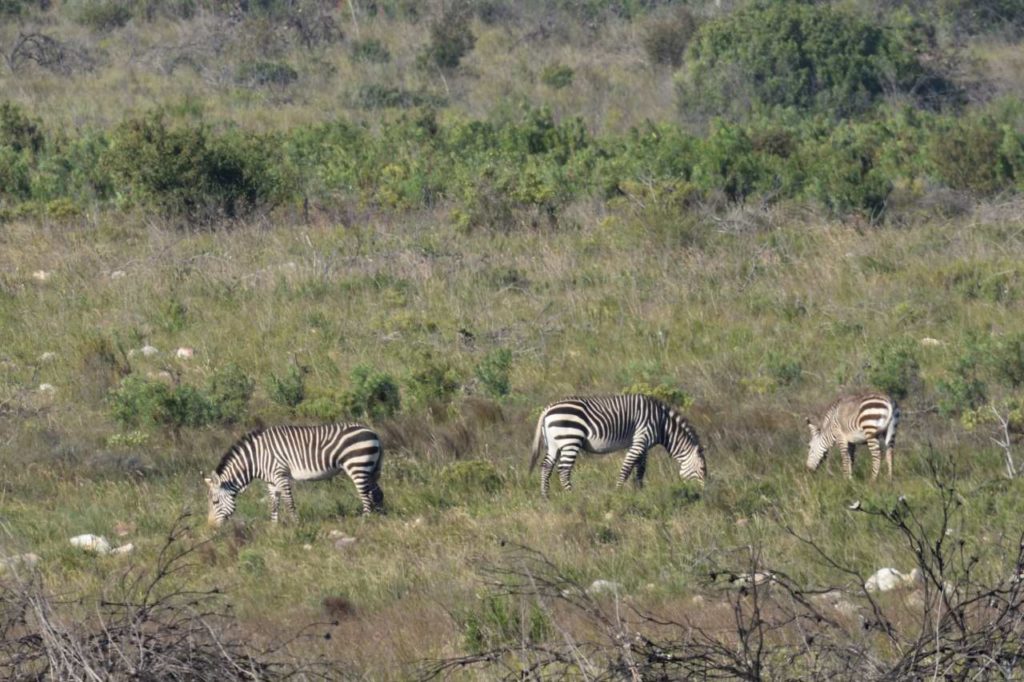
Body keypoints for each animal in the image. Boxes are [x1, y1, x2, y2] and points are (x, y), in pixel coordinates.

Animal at [203, 419, 385, 524]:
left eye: (215, 502)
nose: (210, 527)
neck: (256, 458)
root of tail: (373, 432)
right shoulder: (271, 481)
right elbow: (273, 504)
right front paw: (274, 528)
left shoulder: (280, 474)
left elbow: (289, 502)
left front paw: (296, 525)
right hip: (370, 468)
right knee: (376, 493)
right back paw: (381, 517)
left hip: (357, 466)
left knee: (365, 495)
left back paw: (366, 521)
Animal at [528, 391, 704, 497]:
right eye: (702, 469)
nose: (702, 494)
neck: (662, 423)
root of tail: (548, 409)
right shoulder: (640, 440)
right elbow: (626, 469)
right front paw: (618, 493)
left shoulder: (643, 445)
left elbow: (640, 469)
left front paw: (640, 492)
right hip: (570, 440)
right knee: (564, 470)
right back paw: (573, 495)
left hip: (554, 444)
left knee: (546, 466)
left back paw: (545, 496)